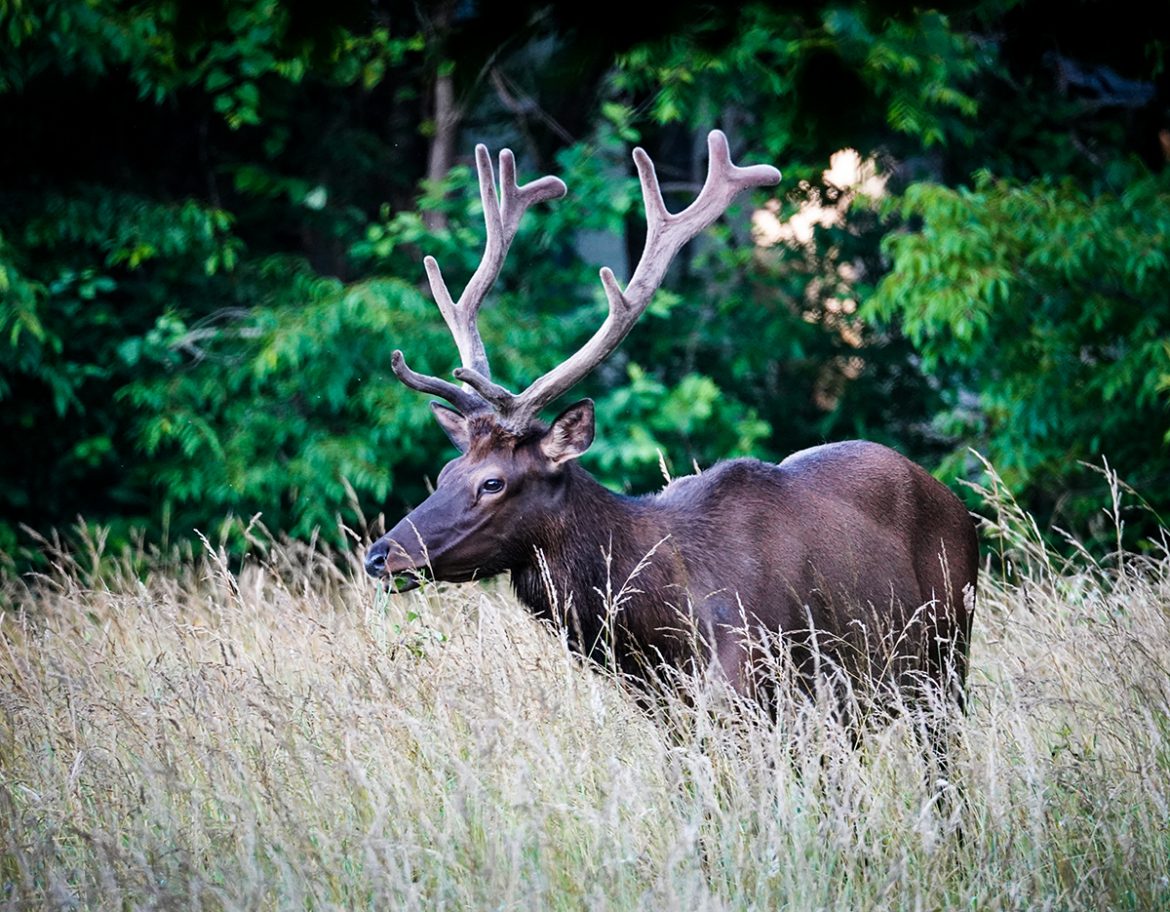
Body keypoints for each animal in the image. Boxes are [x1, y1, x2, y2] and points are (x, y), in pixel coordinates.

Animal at [365, 129, 978, 711]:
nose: (379, 554)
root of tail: (954, 501)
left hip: (946, 653)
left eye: (492, 482)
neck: (664, 633)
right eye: (447, 473)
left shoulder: (768, 689)